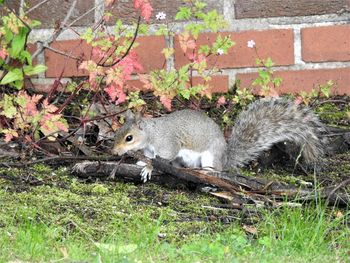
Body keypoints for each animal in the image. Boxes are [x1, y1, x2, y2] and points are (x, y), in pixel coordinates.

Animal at [112, 98, 328, 183]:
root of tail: (224, 160)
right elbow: (149, 157)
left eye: (129, 138)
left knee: (215, 170)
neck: (151, 135)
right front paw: (142, 162)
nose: (114, 152)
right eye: (117, 133)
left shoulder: (168, 144)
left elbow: (163, 157)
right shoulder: (149, 149)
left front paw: (149, 168)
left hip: (209, 157)